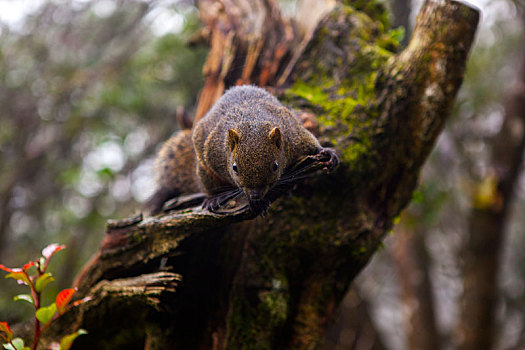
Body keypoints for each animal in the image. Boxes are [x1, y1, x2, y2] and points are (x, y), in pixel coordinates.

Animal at [145, 85, 338, 216]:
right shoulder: (212, 152)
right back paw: (213, 197)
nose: (255, 195)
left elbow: (309, 141)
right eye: (235, 168)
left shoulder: (293, 134)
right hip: (203, 167)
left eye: (275, 166)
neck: (252, 123)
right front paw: (252, 202)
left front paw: (327, 153)